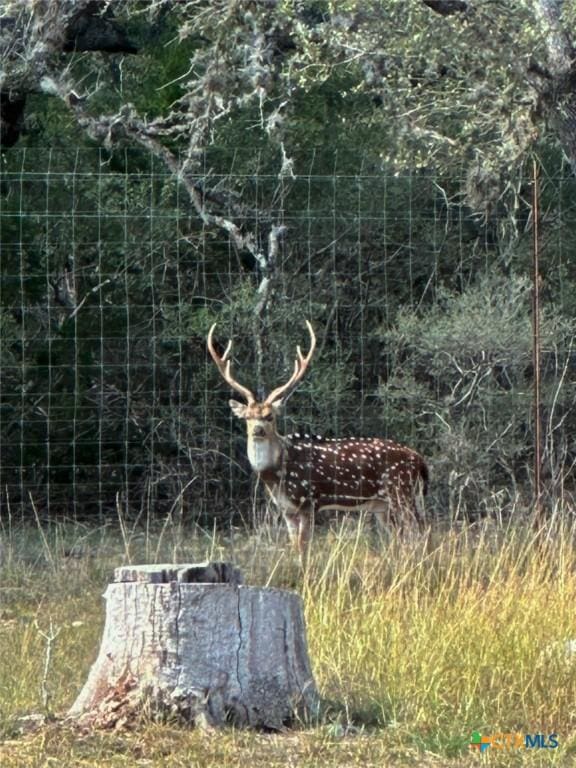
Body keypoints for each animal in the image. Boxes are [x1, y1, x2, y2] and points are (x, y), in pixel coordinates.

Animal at [207, 322, 428, 552]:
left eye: (270, 416)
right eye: (247, 417)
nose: (257, 430)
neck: (277, 473)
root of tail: (420, 460)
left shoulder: (309, 501)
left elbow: (304, 548)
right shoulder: (286, 510)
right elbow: (295, 548)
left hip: (402, 493)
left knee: (421, 534)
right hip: (383, 506)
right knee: (402, 539)